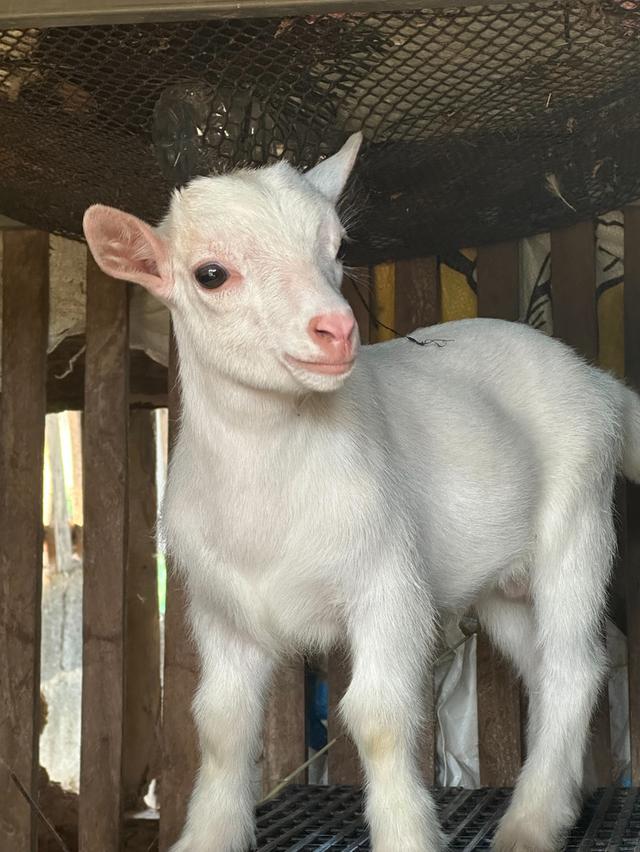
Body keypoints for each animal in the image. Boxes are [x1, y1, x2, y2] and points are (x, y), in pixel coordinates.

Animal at [83, 133, 640, 852]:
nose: (337, 329)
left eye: (338, 247)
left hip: (576, 524)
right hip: (501, 585)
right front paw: (207, 833)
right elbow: (220, 724)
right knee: (550, 669)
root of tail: (598, 383)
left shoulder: (389, 584)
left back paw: (531, 822)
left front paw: (407, 834)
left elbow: (378, 717)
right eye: (211, 273)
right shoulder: (220, 612)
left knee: (573, 666)